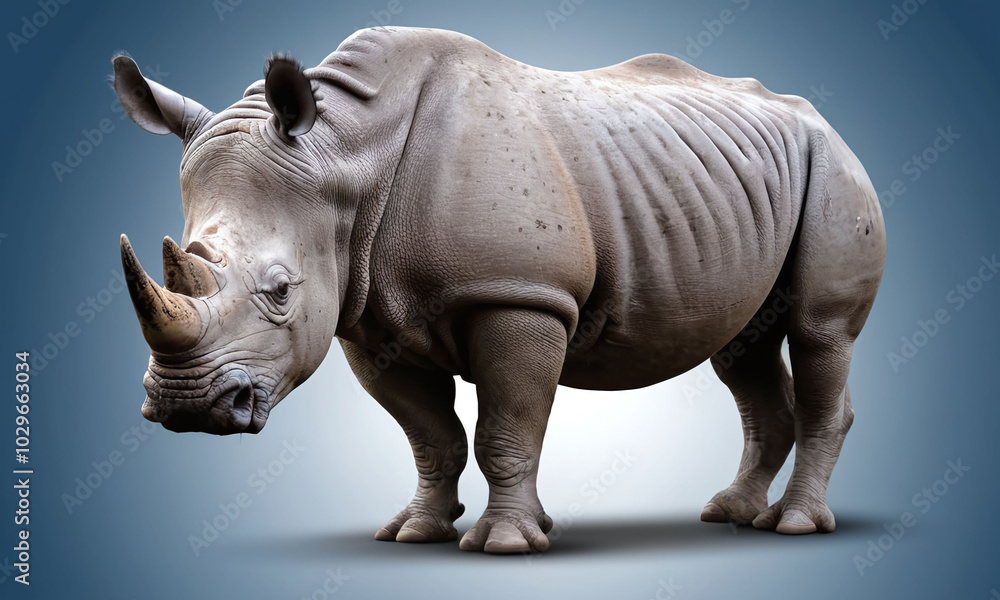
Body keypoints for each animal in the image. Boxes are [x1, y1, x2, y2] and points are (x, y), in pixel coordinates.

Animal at [114, 26, 885, 554]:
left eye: (279, 291)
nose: (187, 407)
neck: (347, 155)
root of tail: (819, 118)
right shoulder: (367, 321)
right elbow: (432, 436)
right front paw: (415, 532)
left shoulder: (519, 294)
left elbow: (505, 429)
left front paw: (506, 544)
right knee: (742, 348)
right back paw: (730, 513)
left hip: (833, 164)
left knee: (819, 331)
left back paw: (792, 525)